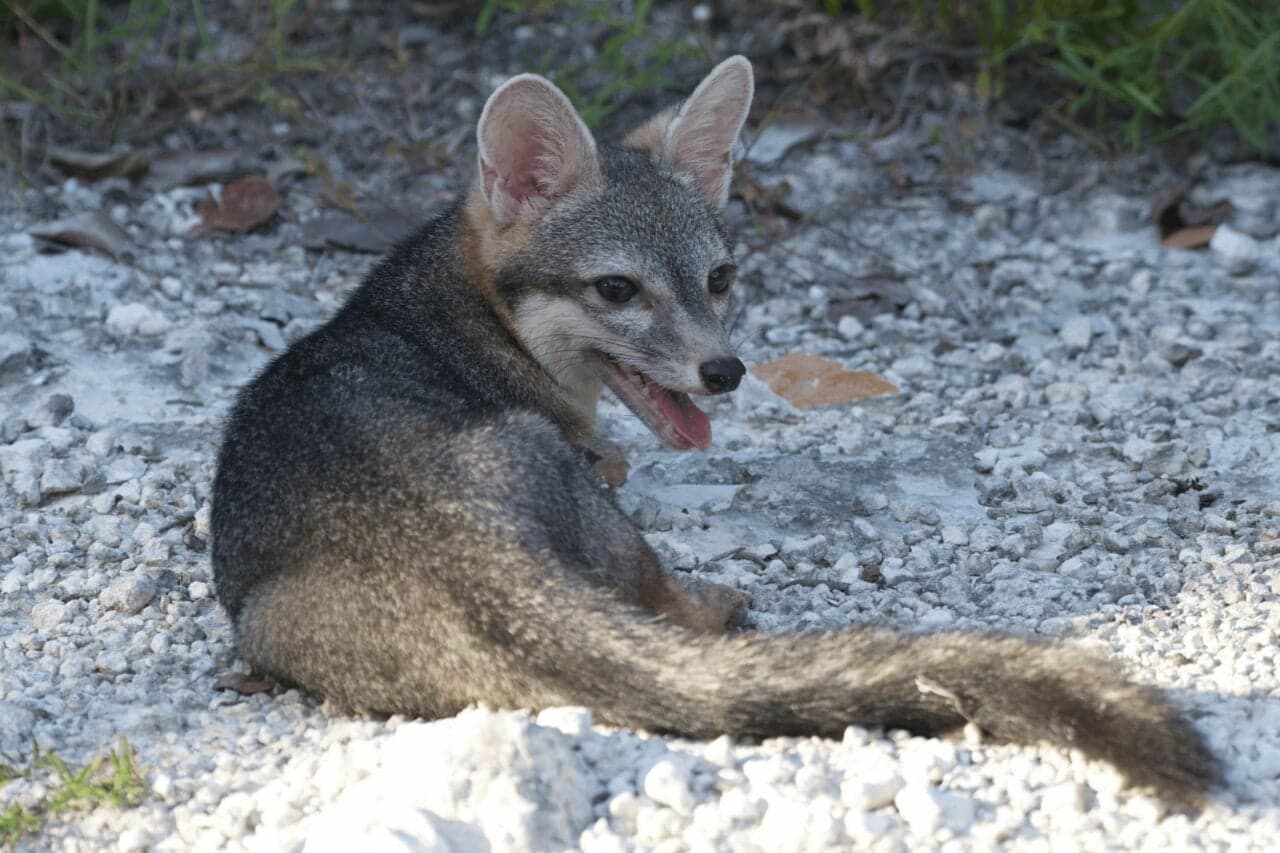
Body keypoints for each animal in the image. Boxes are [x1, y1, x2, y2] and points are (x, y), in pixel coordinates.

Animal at [211, 56, 1218, 809]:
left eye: (721, 278)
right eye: (618, 289)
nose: (724, 371)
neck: (452, 313)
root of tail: (467, 551)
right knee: (662, 598)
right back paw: (715, 603)